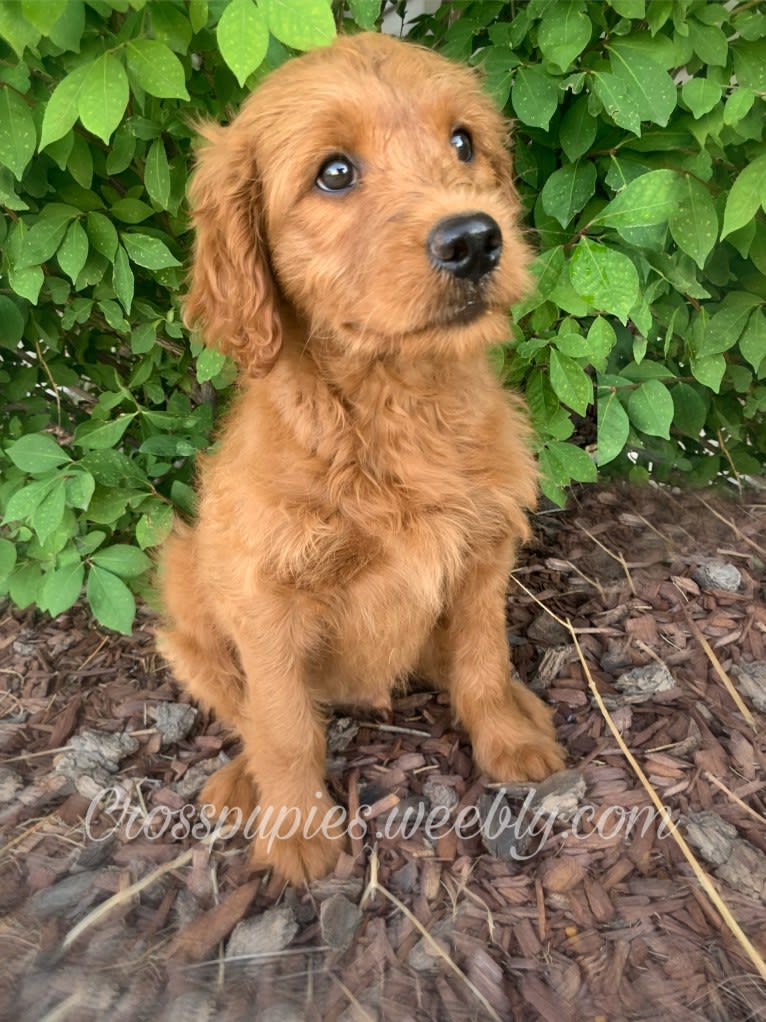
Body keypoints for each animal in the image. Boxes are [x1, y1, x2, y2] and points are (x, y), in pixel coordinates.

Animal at [159, 27, 567, 883]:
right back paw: (241, 780)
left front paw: (508, 739)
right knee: (243, 709)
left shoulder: (484, 551)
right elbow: (284, 724)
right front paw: (297, 831)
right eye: (335, 173)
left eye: (463, 143)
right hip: (182, 594)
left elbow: (483, 659)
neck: (396, 403)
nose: (475, 239)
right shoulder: (264, 597)